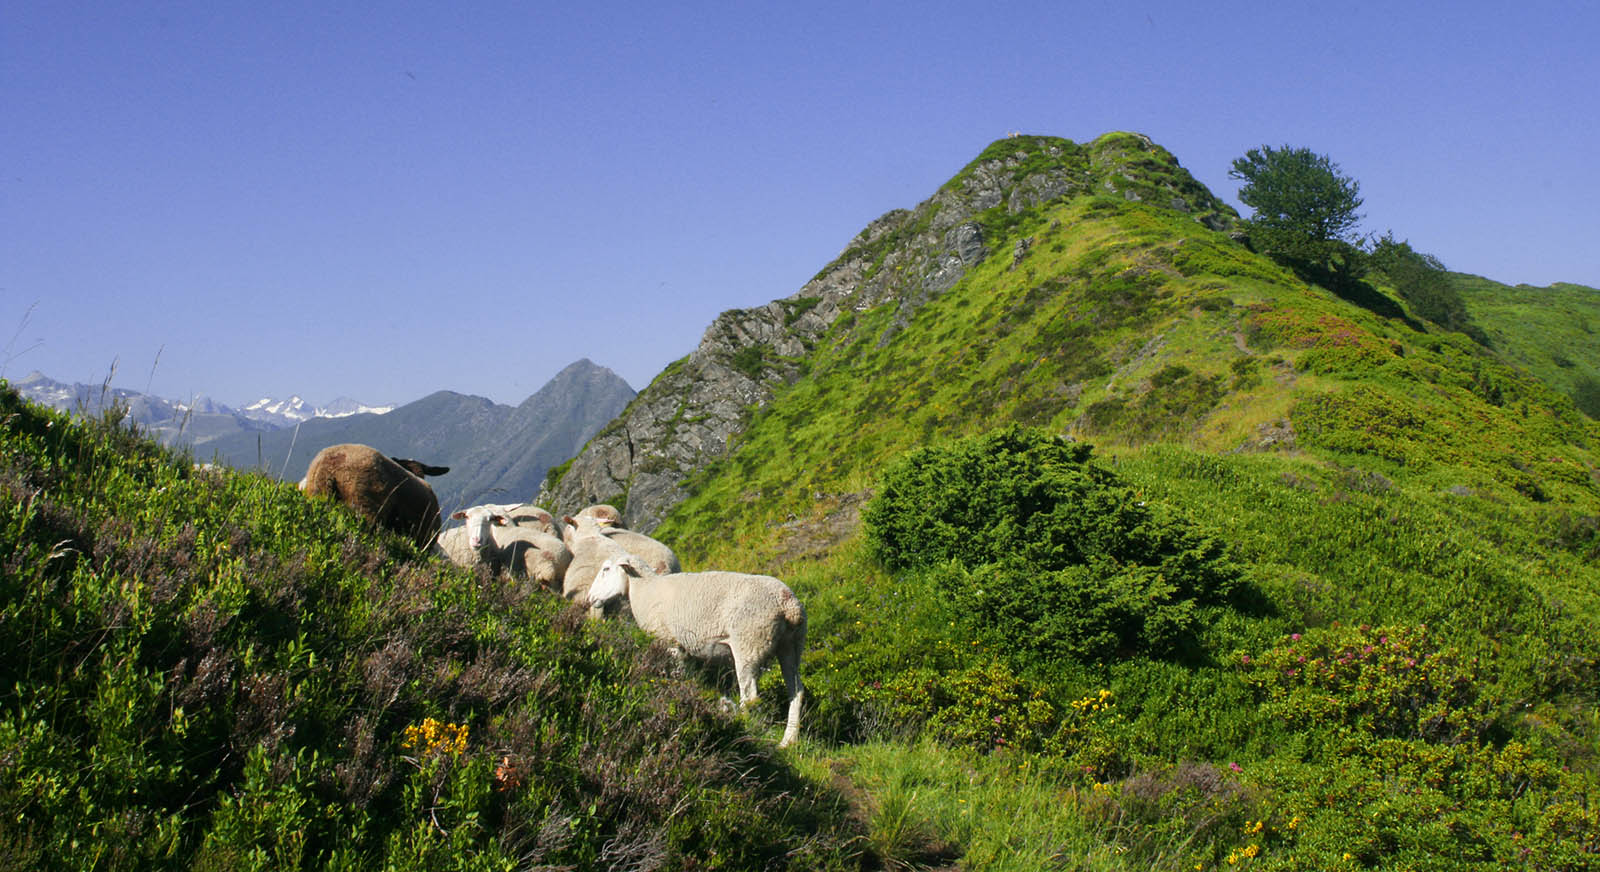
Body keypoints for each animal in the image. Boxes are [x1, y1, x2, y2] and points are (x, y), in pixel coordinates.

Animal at [588, 555, 807, 747]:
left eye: (606, 569)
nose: (590, 597)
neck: (645, 589)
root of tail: (789, 605)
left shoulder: (671, 643)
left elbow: (679, 676)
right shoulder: (685, 649)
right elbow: (689, 676)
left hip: (749, 644)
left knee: (750, 696)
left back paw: (744, 728)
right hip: (791, 646)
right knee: (796, 691)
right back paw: (788, 741)